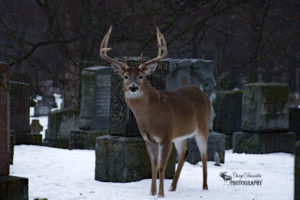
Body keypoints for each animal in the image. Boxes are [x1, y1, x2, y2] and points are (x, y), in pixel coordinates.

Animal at [99, 25, 211, 198]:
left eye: (140, 76)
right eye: (125, 76)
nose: (133, 87)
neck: (151, 116)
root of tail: (203, 93)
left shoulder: (165, 136)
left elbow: (161, 166)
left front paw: (160, 194)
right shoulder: (149, 139)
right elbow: (153, 165)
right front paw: (152, 192)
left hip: (203, 126)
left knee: (204, 154)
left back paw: (204, 187)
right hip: (180, 134)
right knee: (183, 152)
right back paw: (173, 187)